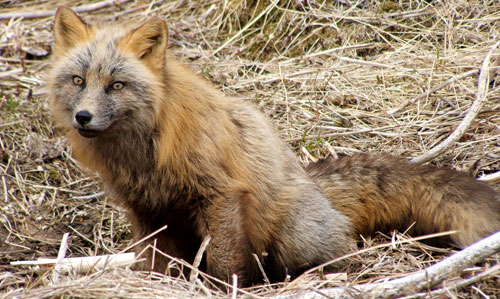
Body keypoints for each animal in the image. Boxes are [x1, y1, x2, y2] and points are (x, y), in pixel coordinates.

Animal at [47, 7, 500, 288]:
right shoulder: (147, 212)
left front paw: (219, 289)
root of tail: (312, 183)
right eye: (78, 81)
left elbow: (225, 264)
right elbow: (158, 264)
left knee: (339, 255)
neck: (143, 155)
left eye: (116, 85)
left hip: (292, 237)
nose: (83, 117)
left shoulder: (221, 195)